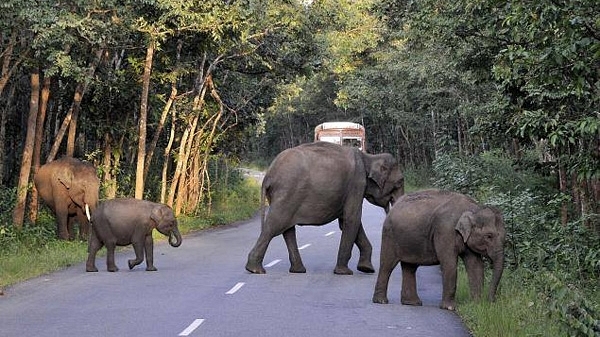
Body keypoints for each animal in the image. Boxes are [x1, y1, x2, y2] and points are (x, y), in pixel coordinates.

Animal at [246, 140, 406, 274]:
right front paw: (344, 272)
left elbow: (347, 222)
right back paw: (255, 269)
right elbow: (352, 220)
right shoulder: (356, 184)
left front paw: (366, 269)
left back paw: (298, 270)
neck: (369, 157)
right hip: (286, 193)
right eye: (399, 182)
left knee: (287, 230)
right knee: (274, 226)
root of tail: (268, 175)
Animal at [370, 188, 506, 308]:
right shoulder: (445, 230)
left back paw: (412, 303)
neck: (474, 208)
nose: (491, 302)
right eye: (489, 236)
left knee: (410, 267)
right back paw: (381, 301)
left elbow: (475, 265)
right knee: (387, 264)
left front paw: (476, 305)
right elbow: (449, 263)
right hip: (390, 235)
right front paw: (450, 307)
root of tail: (394, 206)